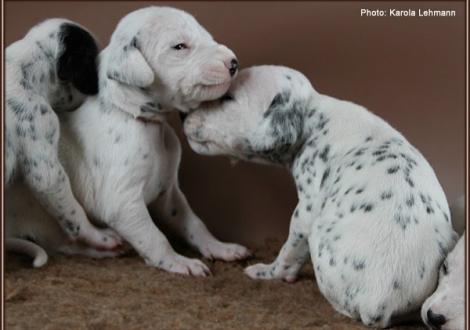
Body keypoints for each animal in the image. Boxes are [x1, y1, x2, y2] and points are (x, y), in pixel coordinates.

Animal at [185, 65, 458, 326]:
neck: (313, 118)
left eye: (227, 98)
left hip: (317, 233)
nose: (183, 115)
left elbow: (288, 253)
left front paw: (268, 270)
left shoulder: (304, 213)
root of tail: (378, 306)